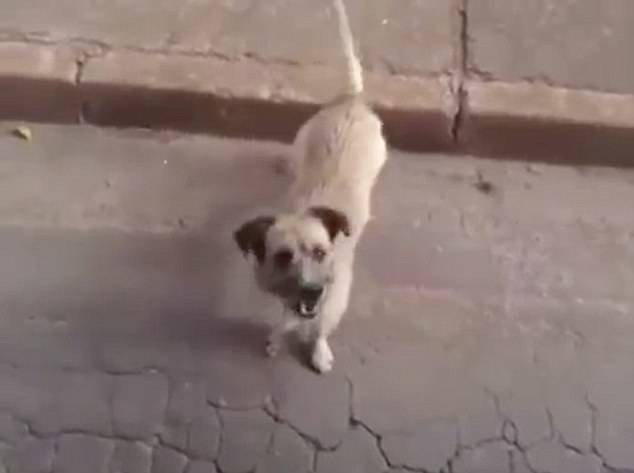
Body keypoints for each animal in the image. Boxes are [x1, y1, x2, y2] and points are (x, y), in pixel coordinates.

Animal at [232, 0, 386, 372]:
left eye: (320, 252)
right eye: (283, 256)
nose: (312, 291)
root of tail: (351, 99)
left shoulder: (334, 297)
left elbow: (321, 325)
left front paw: (317, 347)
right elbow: (284, 316)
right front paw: (279, 333)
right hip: (303, 138)